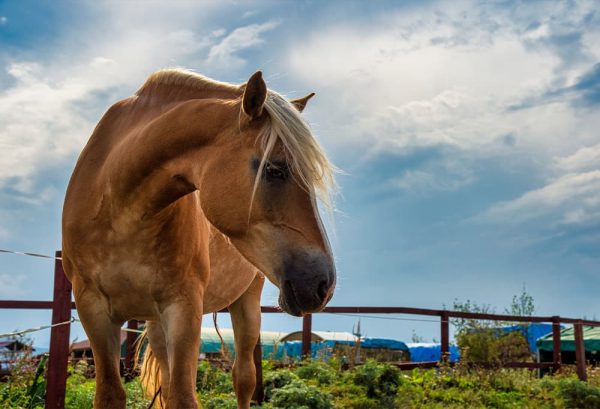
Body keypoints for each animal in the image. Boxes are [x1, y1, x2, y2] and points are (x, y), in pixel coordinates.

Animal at [63, 68, 340, 406]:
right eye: (275, 170)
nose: (323, 285)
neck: (120, 208)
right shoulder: (93, 309)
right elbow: (112, 395)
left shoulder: (183, 307)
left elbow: (184, 397)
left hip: (246, 304)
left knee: (243, 379)